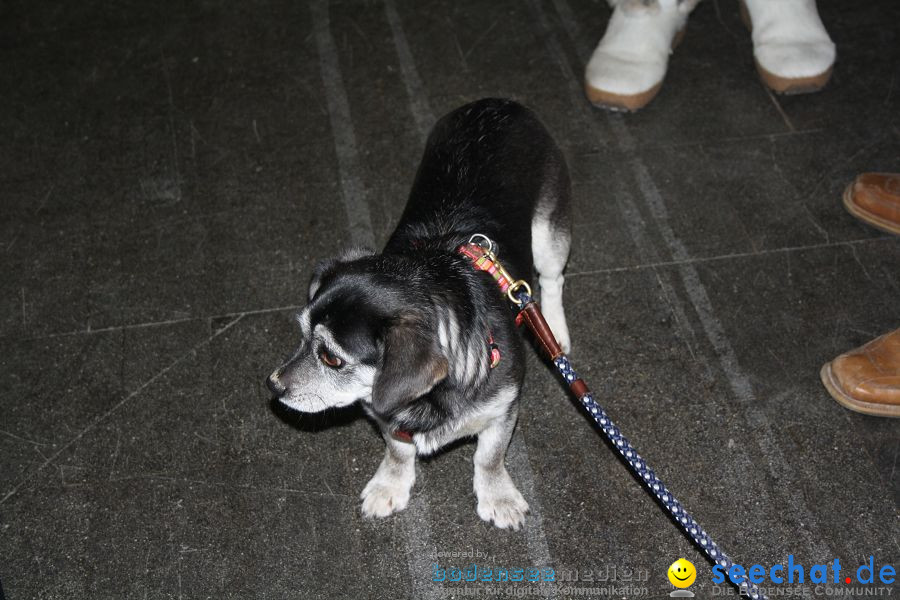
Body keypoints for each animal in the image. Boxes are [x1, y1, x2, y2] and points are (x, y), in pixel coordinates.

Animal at [268, 98, 568, 528]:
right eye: (302, 334)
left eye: (332, 358)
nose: (273, 386)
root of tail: (499, 103)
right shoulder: (387, 415)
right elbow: (398, 450)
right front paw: (389, 486)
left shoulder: (504, 409)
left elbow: (489, 456)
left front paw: (499, 498)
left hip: (550, 235)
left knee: (551, 281)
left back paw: (555, 332)